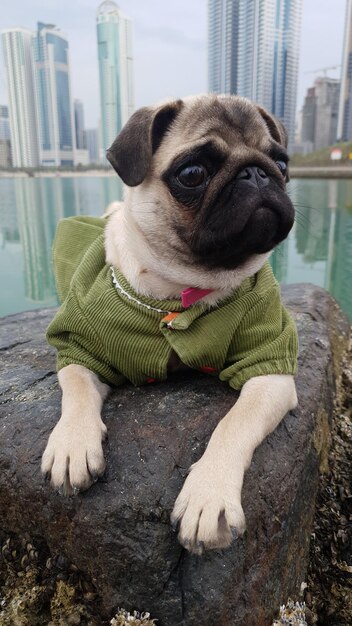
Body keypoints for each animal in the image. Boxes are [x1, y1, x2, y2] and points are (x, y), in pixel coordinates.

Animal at [42, 92, 298, 552]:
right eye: (192, 173)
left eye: (282, 165)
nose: (257, 174)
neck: (184, 291)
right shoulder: (79, 349)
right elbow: (76, 391)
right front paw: (72, 444)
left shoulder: (270, 370)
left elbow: (234, 423)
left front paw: (208, 494)